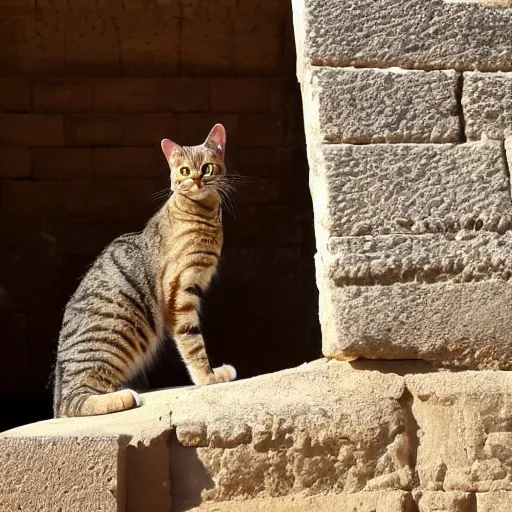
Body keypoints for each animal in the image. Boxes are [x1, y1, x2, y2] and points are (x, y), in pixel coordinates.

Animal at [52, 126, 236, 418]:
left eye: (207, 168)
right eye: (184, 171)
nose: (196, 180)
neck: (203, 213)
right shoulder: (181, 290)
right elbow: (193, 342)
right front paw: (208, 377)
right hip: (116, 333)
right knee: (74, 402)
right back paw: (123, 396)